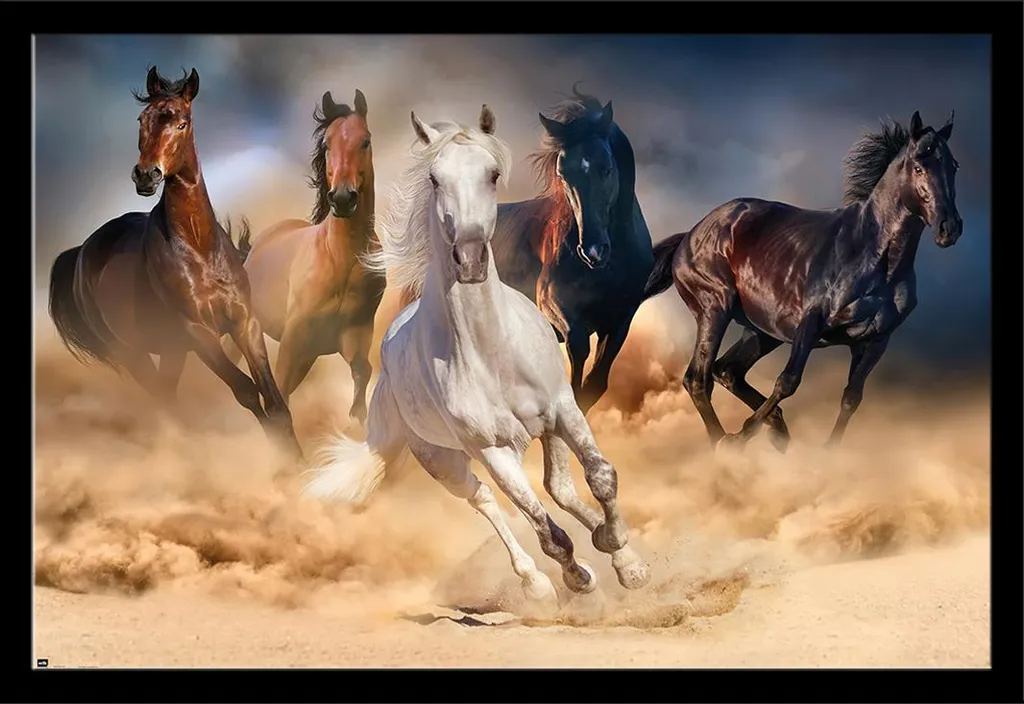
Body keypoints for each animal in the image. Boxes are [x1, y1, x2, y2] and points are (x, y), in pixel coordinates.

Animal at [46, 66, 303, 460]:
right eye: (142, 119)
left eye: (182, 123)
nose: (146, 175)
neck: (199, 248)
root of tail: (81, 252)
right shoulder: (198, 332)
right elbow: (246, 391)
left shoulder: (245, 323)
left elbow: (274, 401)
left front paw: (300, 464)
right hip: (133, 353)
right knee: (164, 400)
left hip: (170, 351)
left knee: (167, 394)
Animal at [227, 89, 385, 425]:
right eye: (327, 144)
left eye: (365, 141)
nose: (342, 198)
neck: (341, 259)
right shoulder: (294, 339)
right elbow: (280, 393)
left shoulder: (354, 335)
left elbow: (362, 374)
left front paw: (356, 421)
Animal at [398, 86, 654, 416]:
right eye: (563, 174)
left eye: (606, 169)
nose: (593, 250)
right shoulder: (557, 309)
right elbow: (576, 366)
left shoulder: (620, 321)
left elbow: (594, 385)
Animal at [642, 111, 962, 451]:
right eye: (919, 166)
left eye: (953, 166)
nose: (949, 228)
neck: (874, 257)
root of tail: (689, 235)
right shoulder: (811, 323)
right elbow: (788, 381)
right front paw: (742, 436)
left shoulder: (876, 341)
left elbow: (852, 397)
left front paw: (826, 452)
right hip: (714, 309)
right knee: (698, 379)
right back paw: (725, 443)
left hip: (761, 331)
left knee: (726, 371)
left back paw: (777, 430)